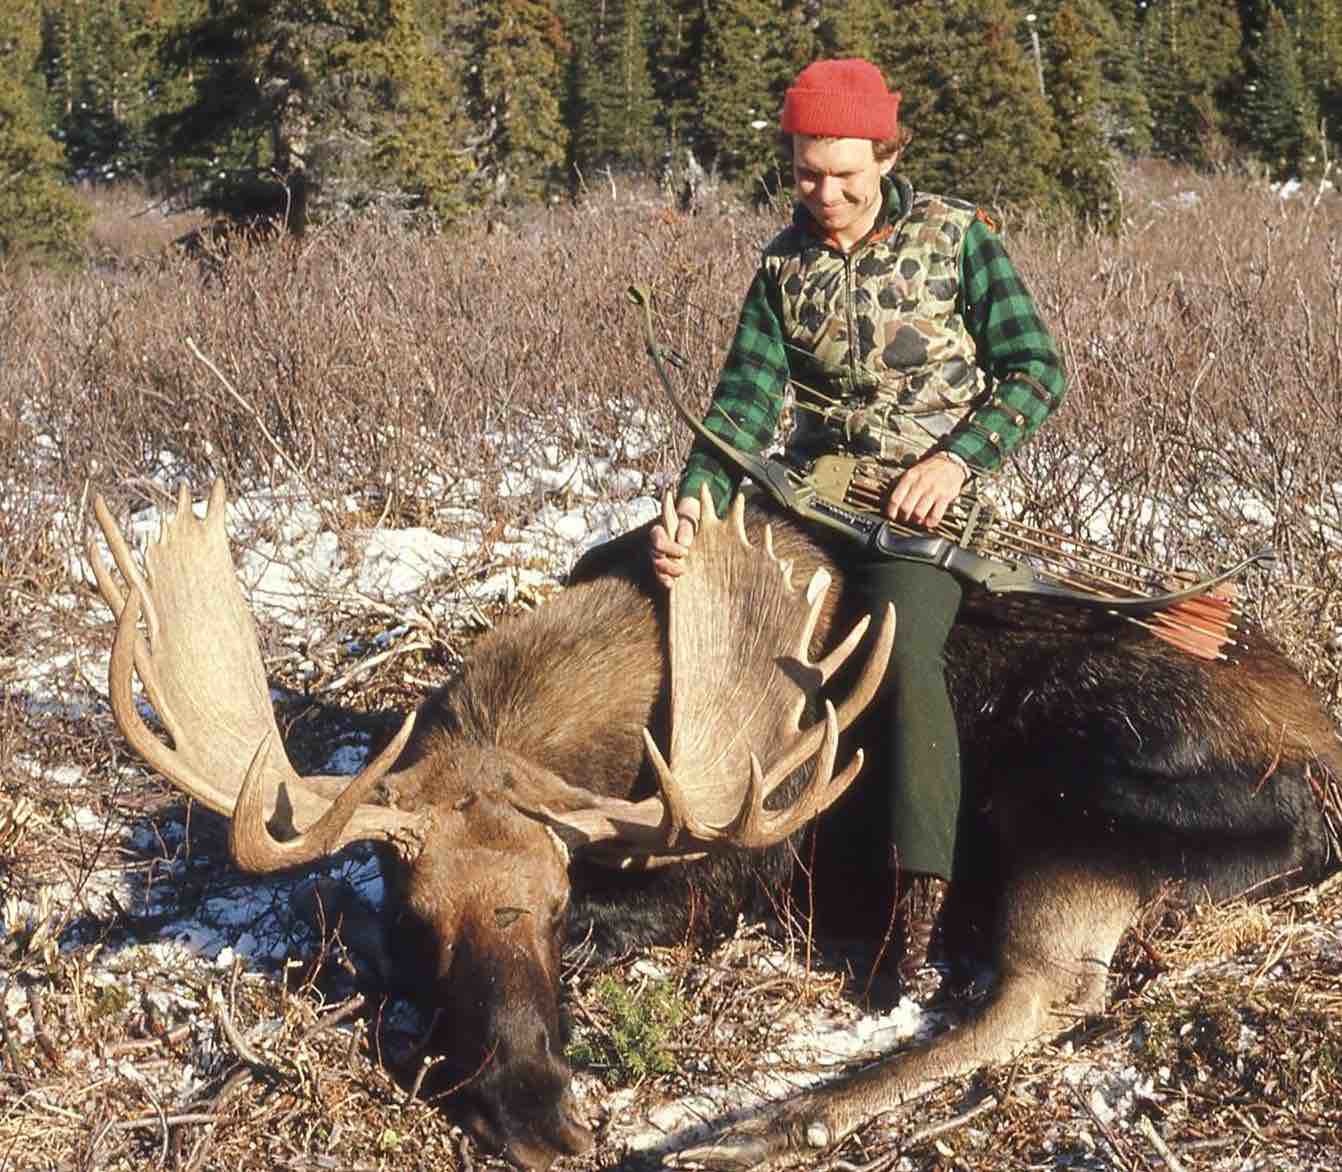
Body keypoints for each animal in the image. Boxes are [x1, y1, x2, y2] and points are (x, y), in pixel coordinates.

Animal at [88, 479, 1338, 1170]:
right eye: (419, 915)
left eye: (554, 910)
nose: (543, 1115)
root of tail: (1320, 783)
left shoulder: (739, 863)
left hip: (1056, 796)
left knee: (1040, 995)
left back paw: (744, 1131)